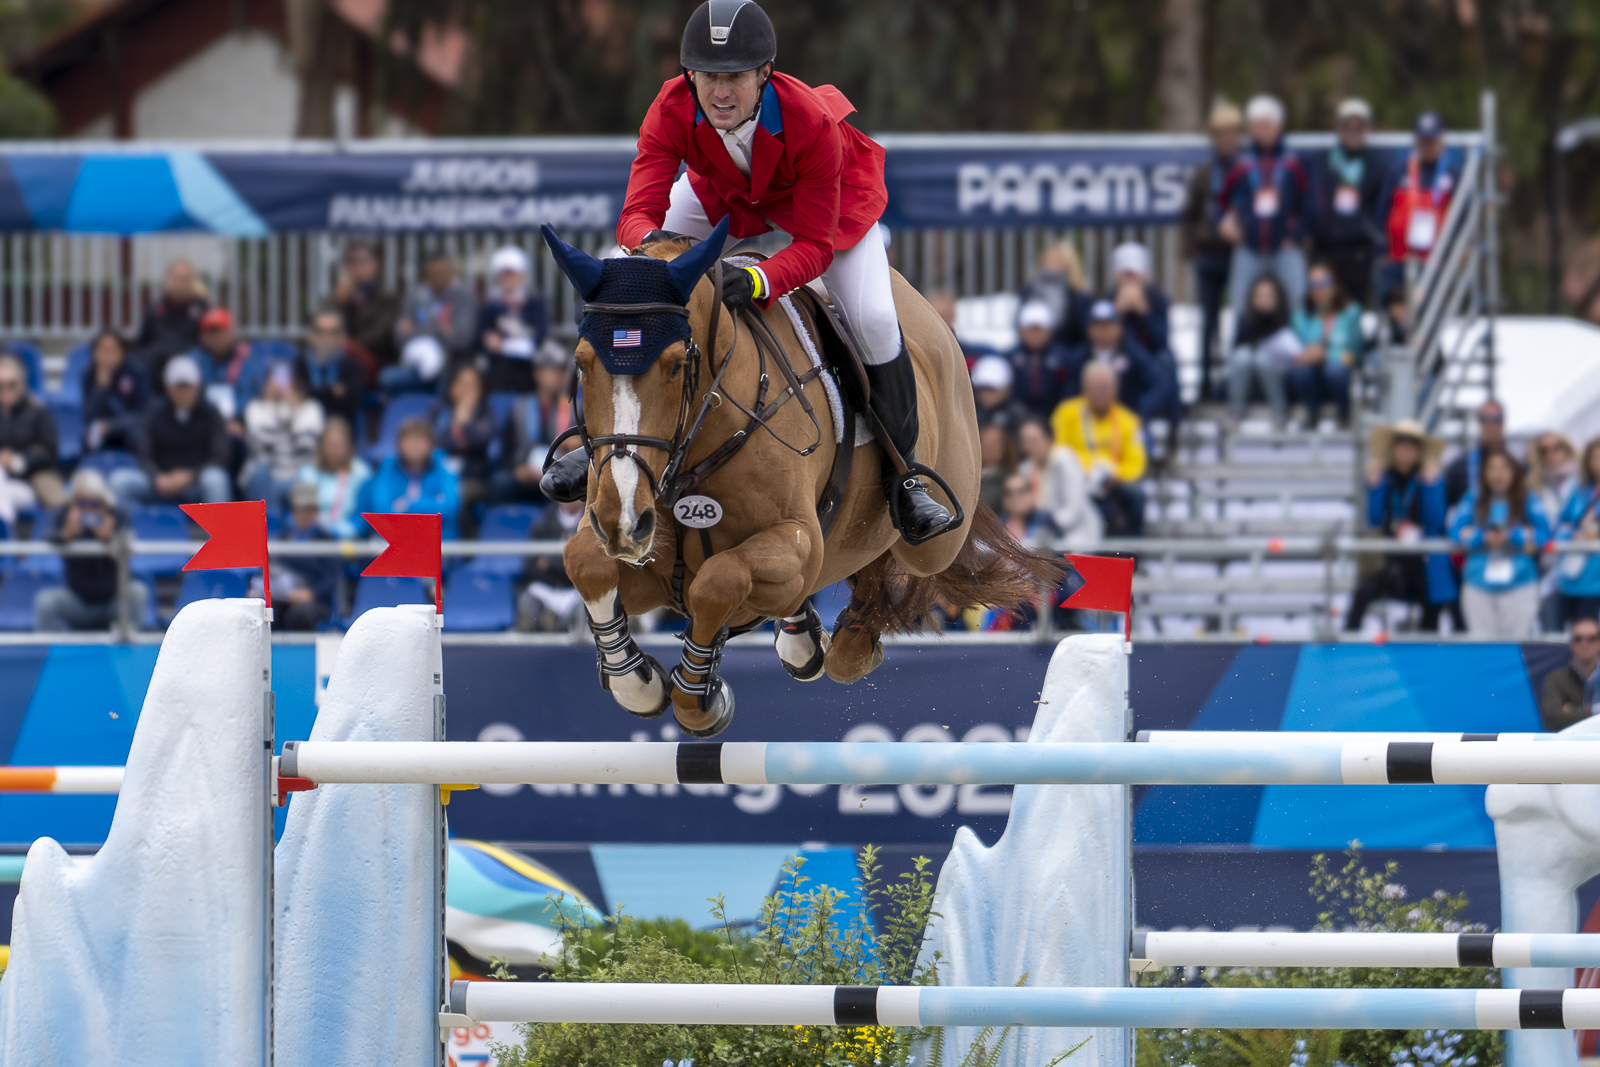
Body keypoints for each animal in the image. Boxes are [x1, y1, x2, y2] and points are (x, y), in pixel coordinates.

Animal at [544, 223, 1056, 742]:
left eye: (674, 365)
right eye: (582, 362)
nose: (624, 521)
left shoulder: (798, 542)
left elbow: (719, 580)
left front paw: (697, 696)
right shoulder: (645, 561)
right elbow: (585, 561)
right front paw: (638, 683)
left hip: (933, 540)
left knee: (905, 554)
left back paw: (857, 628)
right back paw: (812, 640)